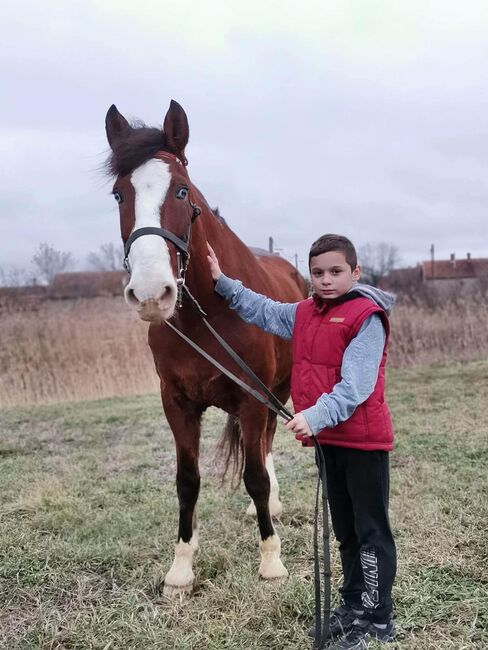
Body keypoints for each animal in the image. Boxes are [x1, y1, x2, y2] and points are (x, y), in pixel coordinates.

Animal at [105, 98, 306, 596]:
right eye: (119, 195)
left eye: (181, 192)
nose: (151, 293)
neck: (205, 315)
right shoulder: (176, 402)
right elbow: (187, 481)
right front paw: (181, 567)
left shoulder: (252, 399)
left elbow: (254, 476)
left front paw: (271, 561)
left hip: (277, 390)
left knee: (266, 444)